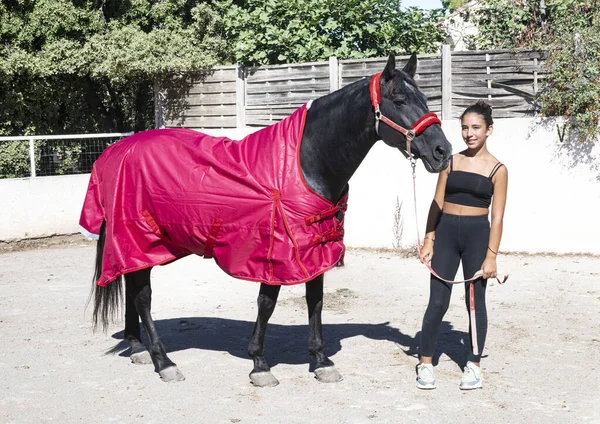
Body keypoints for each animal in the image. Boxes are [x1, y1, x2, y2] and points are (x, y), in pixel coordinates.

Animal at [89, 53, 450, 384]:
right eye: (400, 100)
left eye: (425, 98)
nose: (442, 152)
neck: (305, 163)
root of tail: (116, 151)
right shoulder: (275, 253)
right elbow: (267, 303)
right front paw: (260, 364)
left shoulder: (313, 250)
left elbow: (315, 301)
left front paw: (321, 362)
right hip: (138, 240)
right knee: (142, 296)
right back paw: (164, 362)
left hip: (138, 246)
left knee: (132, 286)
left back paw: (138, 348)